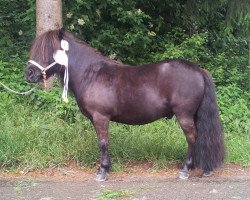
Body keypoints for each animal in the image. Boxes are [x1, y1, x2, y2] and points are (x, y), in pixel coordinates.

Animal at [24, 29, 225, 181]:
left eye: (49, 50)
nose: (29, 73)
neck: (91, 74)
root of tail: (198, 70)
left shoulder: (101, 117)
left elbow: (103, 142)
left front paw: (102, 171)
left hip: (184, 115)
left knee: (192, 137)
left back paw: (185, 169)